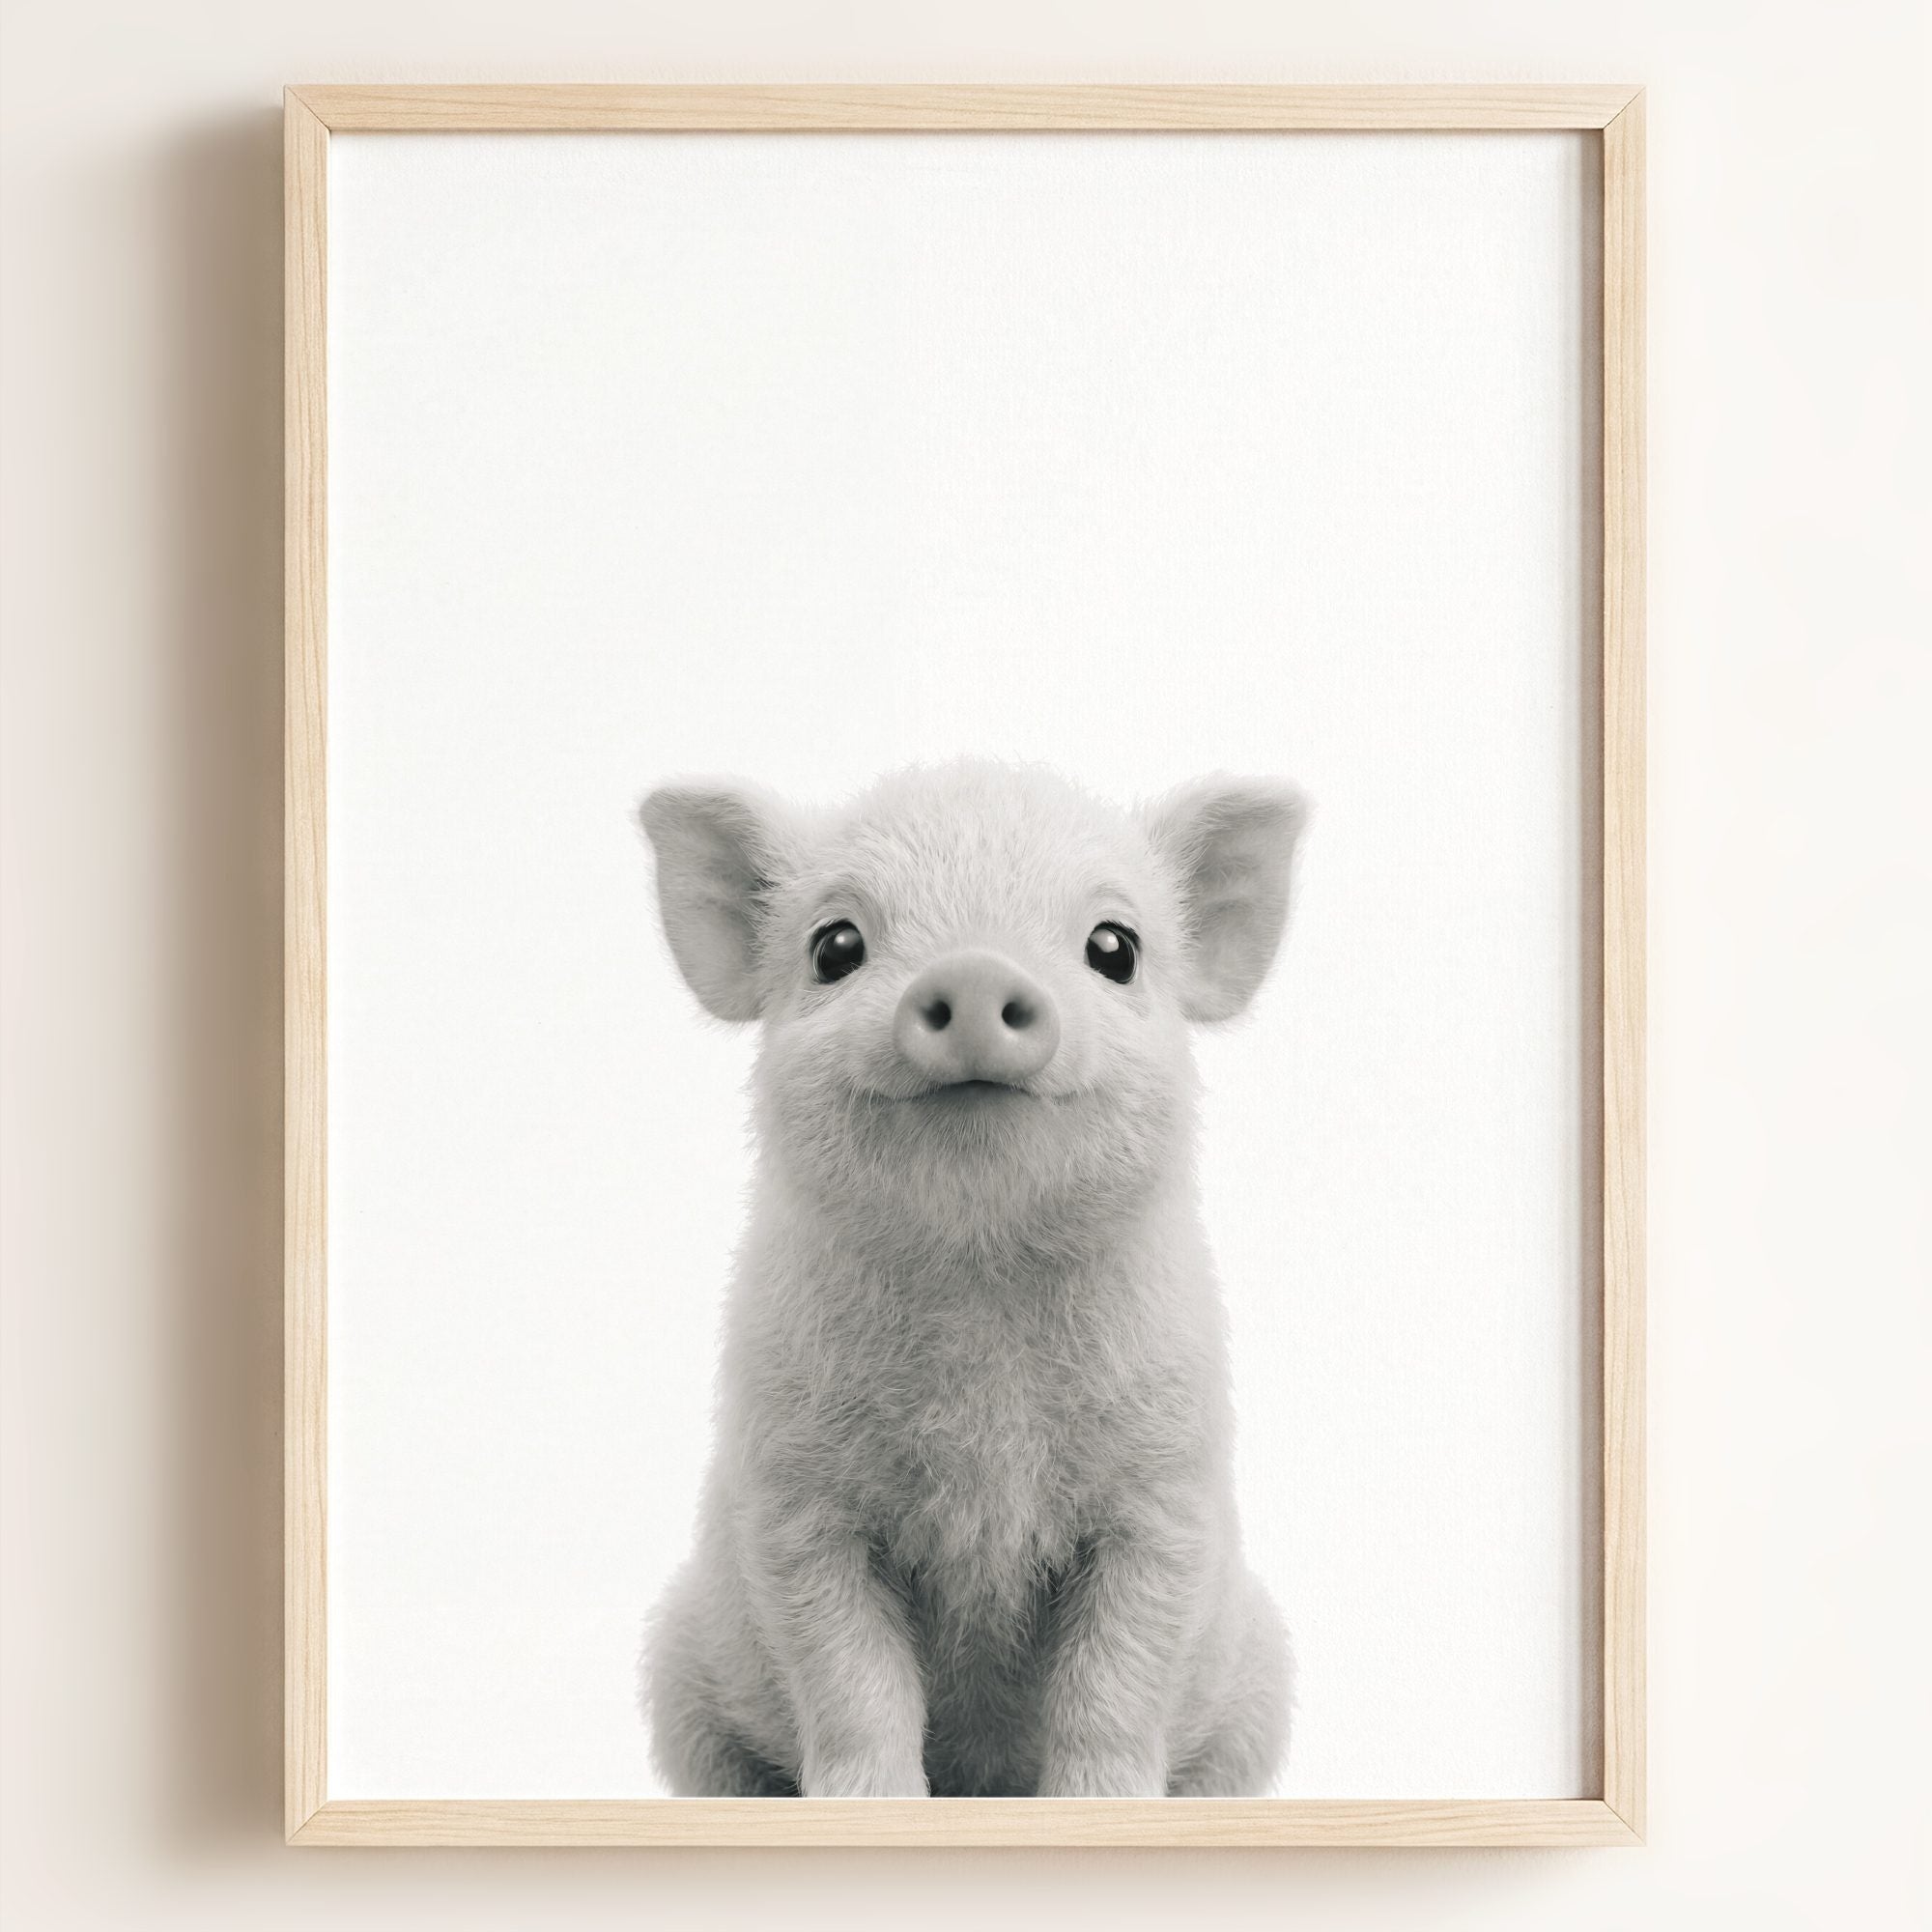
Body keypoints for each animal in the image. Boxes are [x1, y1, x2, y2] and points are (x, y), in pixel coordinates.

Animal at [637, 758, 1306, 1797]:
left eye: (1114, 948)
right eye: (835, 946)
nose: (976, 968)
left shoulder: (1165, 1493)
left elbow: (1116, 1681)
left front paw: (1101, 1804)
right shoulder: (793, 1499)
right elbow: (851, 1679)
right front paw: (867, 1803)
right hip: (678, 1677)